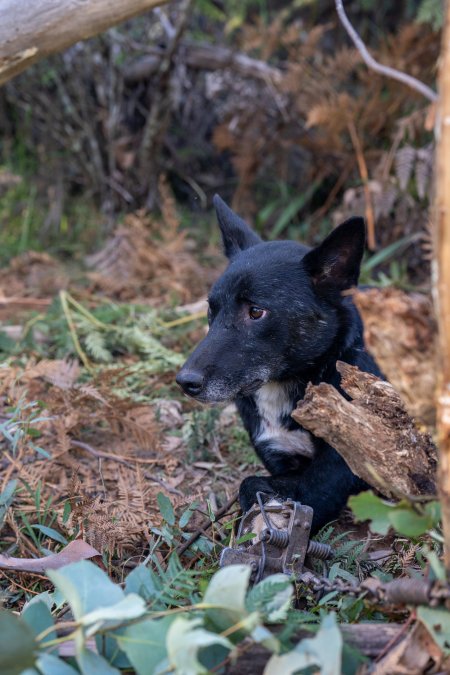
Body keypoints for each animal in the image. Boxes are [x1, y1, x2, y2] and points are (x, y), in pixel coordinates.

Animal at [176, 195, 380, 532]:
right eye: (211, 310)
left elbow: (253, 484)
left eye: (256, 312)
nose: (185, 382)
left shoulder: (335, 475)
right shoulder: (279, 456)